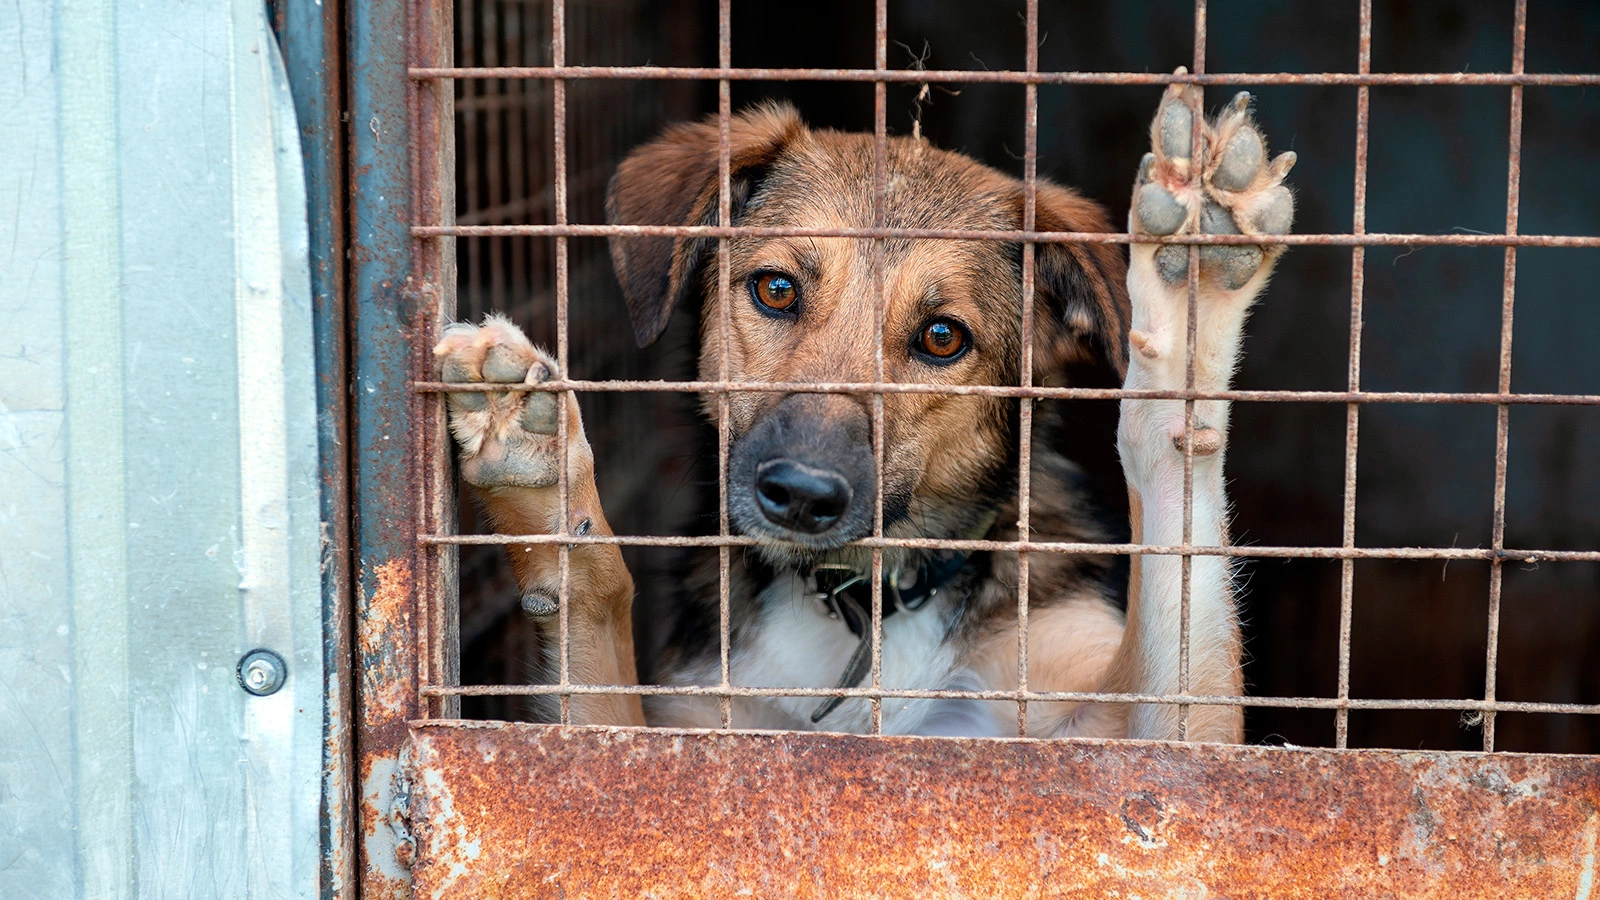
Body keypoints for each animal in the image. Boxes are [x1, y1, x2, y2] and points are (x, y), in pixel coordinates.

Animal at [441, 80, 1299, 739]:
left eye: (943, 337)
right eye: (776, 289)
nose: (800, 496)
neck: (867, 603)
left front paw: (1191, 288)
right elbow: (598, 621)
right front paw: (544, 481)